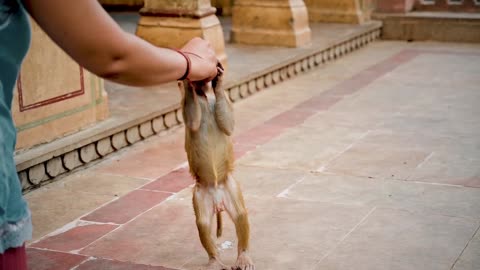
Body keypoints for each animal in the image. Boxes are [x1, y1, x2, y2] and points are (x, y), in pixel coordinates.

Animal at [178, 63, 255, 270]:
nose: (201, 83)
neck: (204, 95)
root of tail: (217, 196)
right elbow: (193, 122)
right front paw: (187, 82)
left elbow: (228, 125)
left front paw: (218, 82)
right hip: (201, 194)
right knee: (203, 223)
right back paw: (214, 259)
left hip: (229, 186)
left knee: (240, 215)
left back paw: (243, 255)